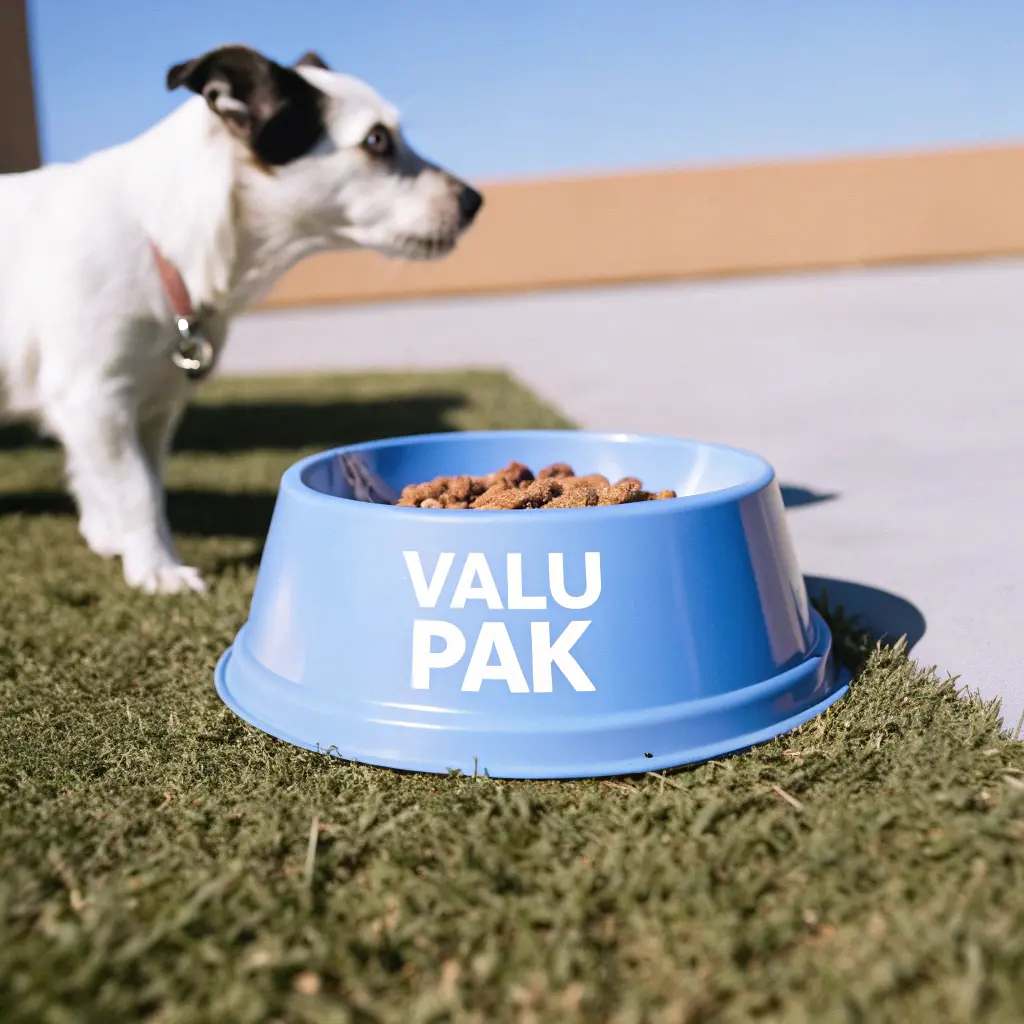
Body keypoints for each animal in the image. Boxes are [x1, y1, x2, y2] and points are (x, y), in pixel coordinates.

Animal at [0, 44, 479, 598]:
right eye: (376, 140)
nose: (475, 200)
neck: (161, 239)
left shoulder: (150, 406)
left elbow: (139, 482)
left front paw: (113, 536)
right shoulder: (93, 395)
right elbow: (136, 489)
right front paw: (157, 568)